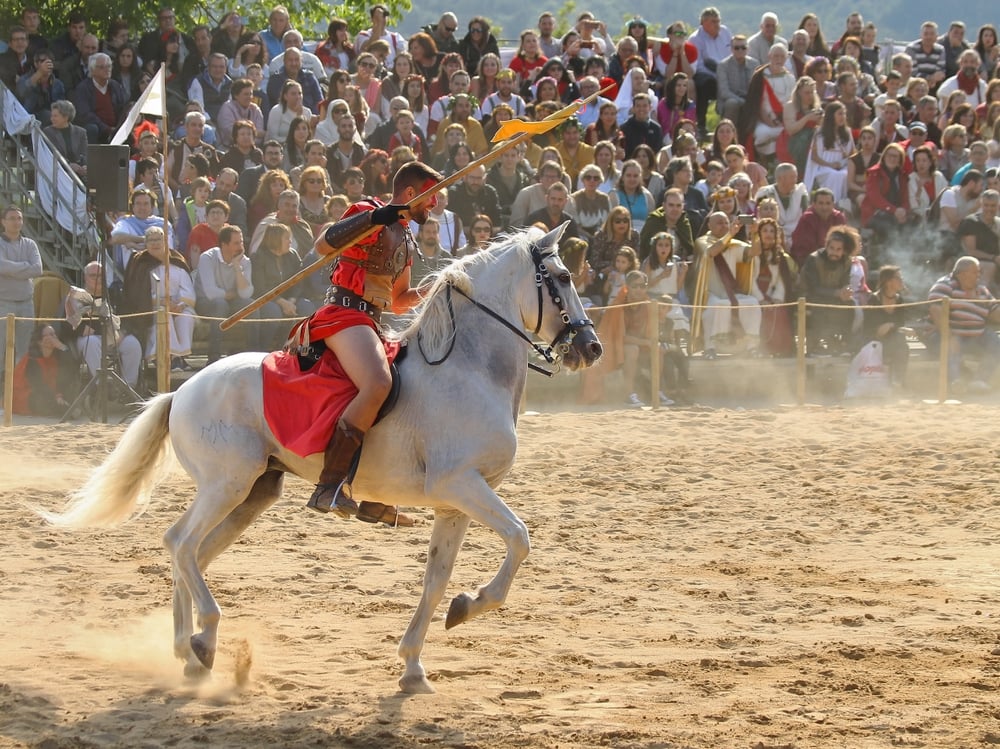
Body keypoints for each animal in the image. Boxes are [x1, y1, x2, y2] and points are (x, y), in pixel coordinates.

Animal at [42, 223, 603, 694]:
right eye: (562, 277)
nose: (591, 348)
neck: (469, 368)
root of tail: (182, 390)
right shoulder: (462, 485)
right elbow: (519, 538)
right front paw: (472, 605)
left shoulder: (455, 504)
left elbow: (436, 581)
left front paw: (414, 664)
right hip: (227, 484)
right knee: (180, 543)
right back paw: (203, 640)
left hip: (253, 492)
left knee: (190, 553)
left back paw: (188, 649)